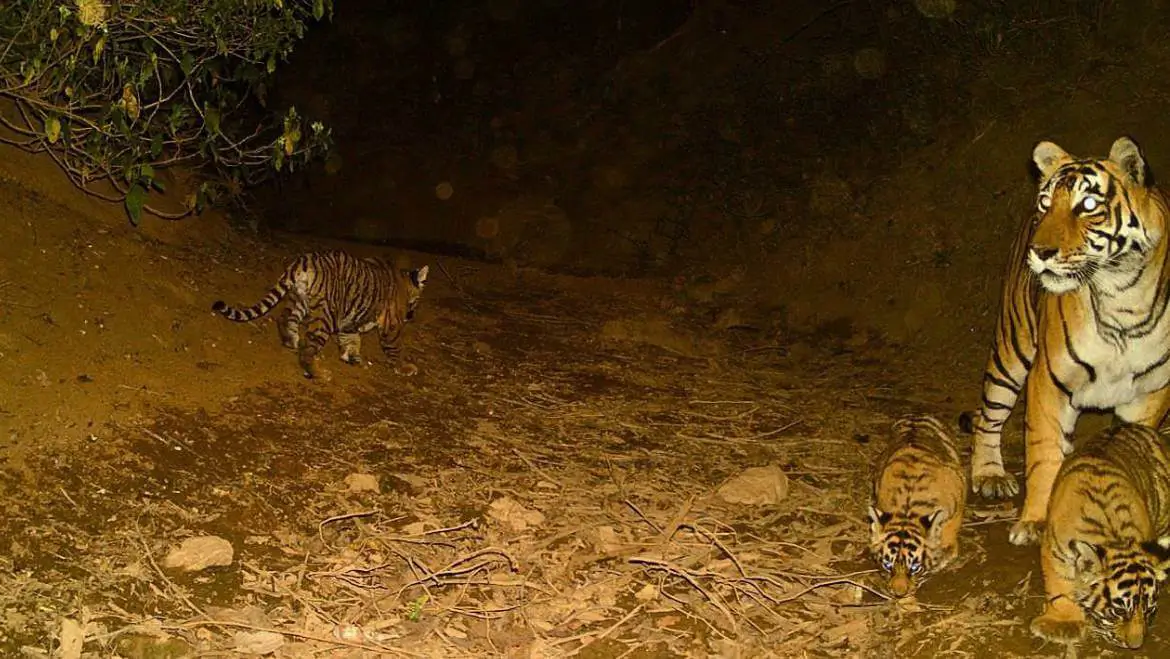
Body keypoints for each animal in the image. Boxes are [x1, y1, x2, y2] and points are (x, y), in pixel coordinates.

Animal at [212, 250, 429, 379]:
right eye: (417, 300)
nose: (411, 316)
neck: (404, 281)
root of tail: (303, 260)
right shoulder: (391, 324)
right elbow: (394, 347)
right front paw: (404, 367)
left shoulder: (349, 321)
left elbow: (351, 339)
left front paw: (351, 357)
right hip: (325, 316)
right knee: (307, 348)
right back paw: (318, 372)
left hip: (298, 300)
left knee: (285, 318)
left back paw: (290, 341)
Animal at [959, 136, 1170, 547]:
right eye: (1046, 202)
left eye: (1088, 205)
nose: (1039, 253)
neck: (1122, 299)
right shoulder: (1048, 379)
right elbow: (1042, 454)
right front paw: (1034, 522)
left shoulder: (1151, 392)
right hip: (1012, 350)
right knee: (989, 416)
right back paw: (990, 474)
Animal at [1030, 422, 1170, 649]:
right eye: (1119, 611)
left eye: (1149, 610)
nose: (1135, 645)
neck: (1115, 538)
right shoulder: (1054, 550)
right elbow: (1060, 588)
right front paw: (1063, 625)